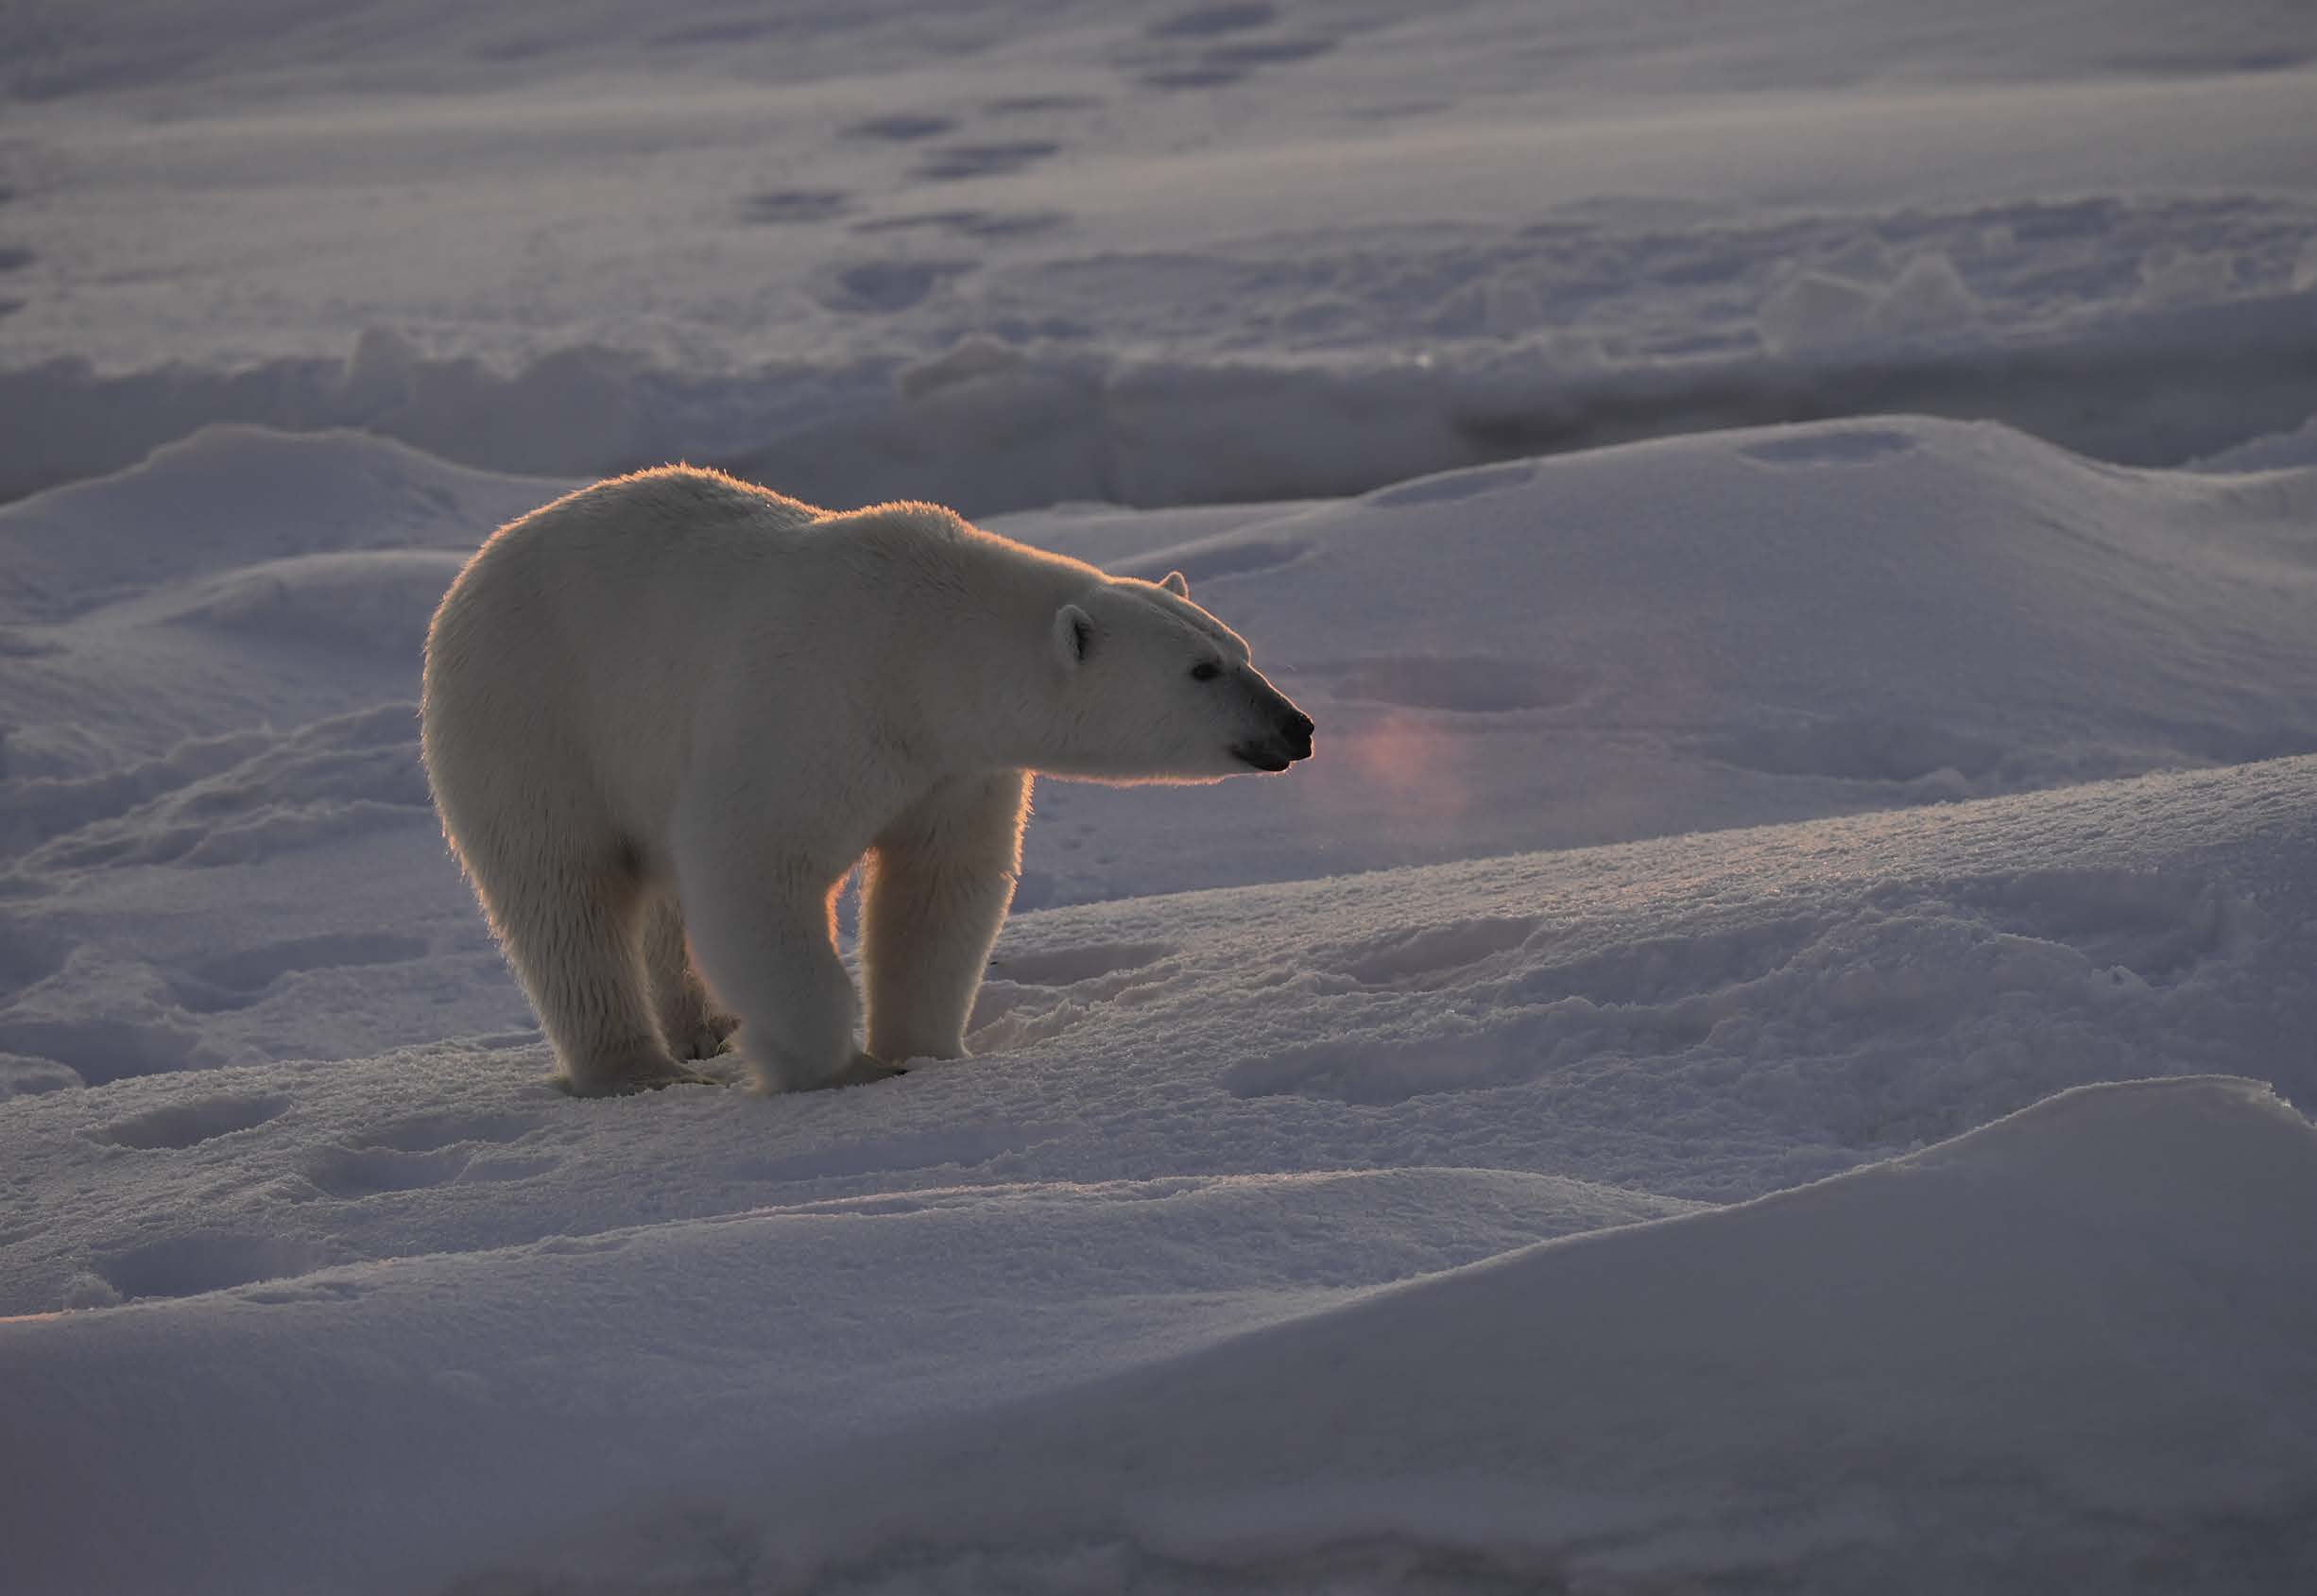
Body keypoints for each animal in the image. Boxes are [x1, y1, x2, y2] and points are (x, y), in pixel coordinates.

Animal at [423, 468, 1315, 1093]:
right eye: (1202, 670)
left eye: (1239, 649)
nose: (1296, 728)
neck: (920, 645)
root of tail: (474, 571)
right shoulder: (813, 706)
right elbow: (758, 866)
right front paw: (835, 1065)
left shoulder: (955, 767)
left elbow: (939, 888)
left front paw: (924, 1050)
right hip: (531, 717)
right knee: (562, 893)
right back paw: (635, 1068)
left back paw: (702, 1027)